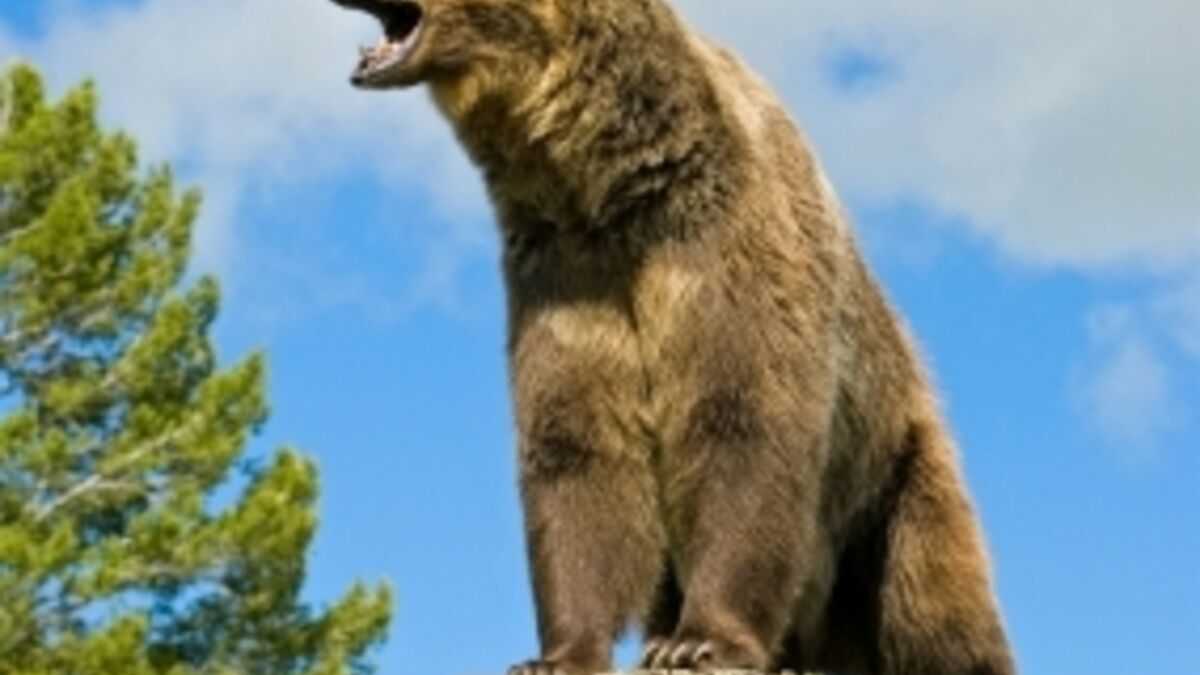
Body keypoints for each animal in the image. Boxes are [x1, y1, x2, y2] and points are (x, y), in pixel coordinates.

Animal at [333, 1, 1017, 672]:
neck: (602, 193)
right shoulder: (566, 280)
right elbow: (577, 449)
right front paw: (557, 654)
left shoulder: (722, 251)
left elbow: (741, 422)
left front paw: (698, 642)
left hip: (895, 474)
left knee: (931, 601)